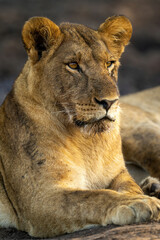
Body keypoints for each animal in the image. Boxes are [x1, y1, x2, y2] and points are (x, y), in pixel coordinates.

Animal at [0, 15, 160, 237]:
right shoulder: (39, 198)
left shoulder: (118, 174)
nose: (110, 102)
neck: (87, 140)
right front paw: (138, 203)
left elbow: (127, 187)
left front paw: (140, 196)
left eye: (109, 63)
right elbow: (93, 197)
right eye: (73, 65)